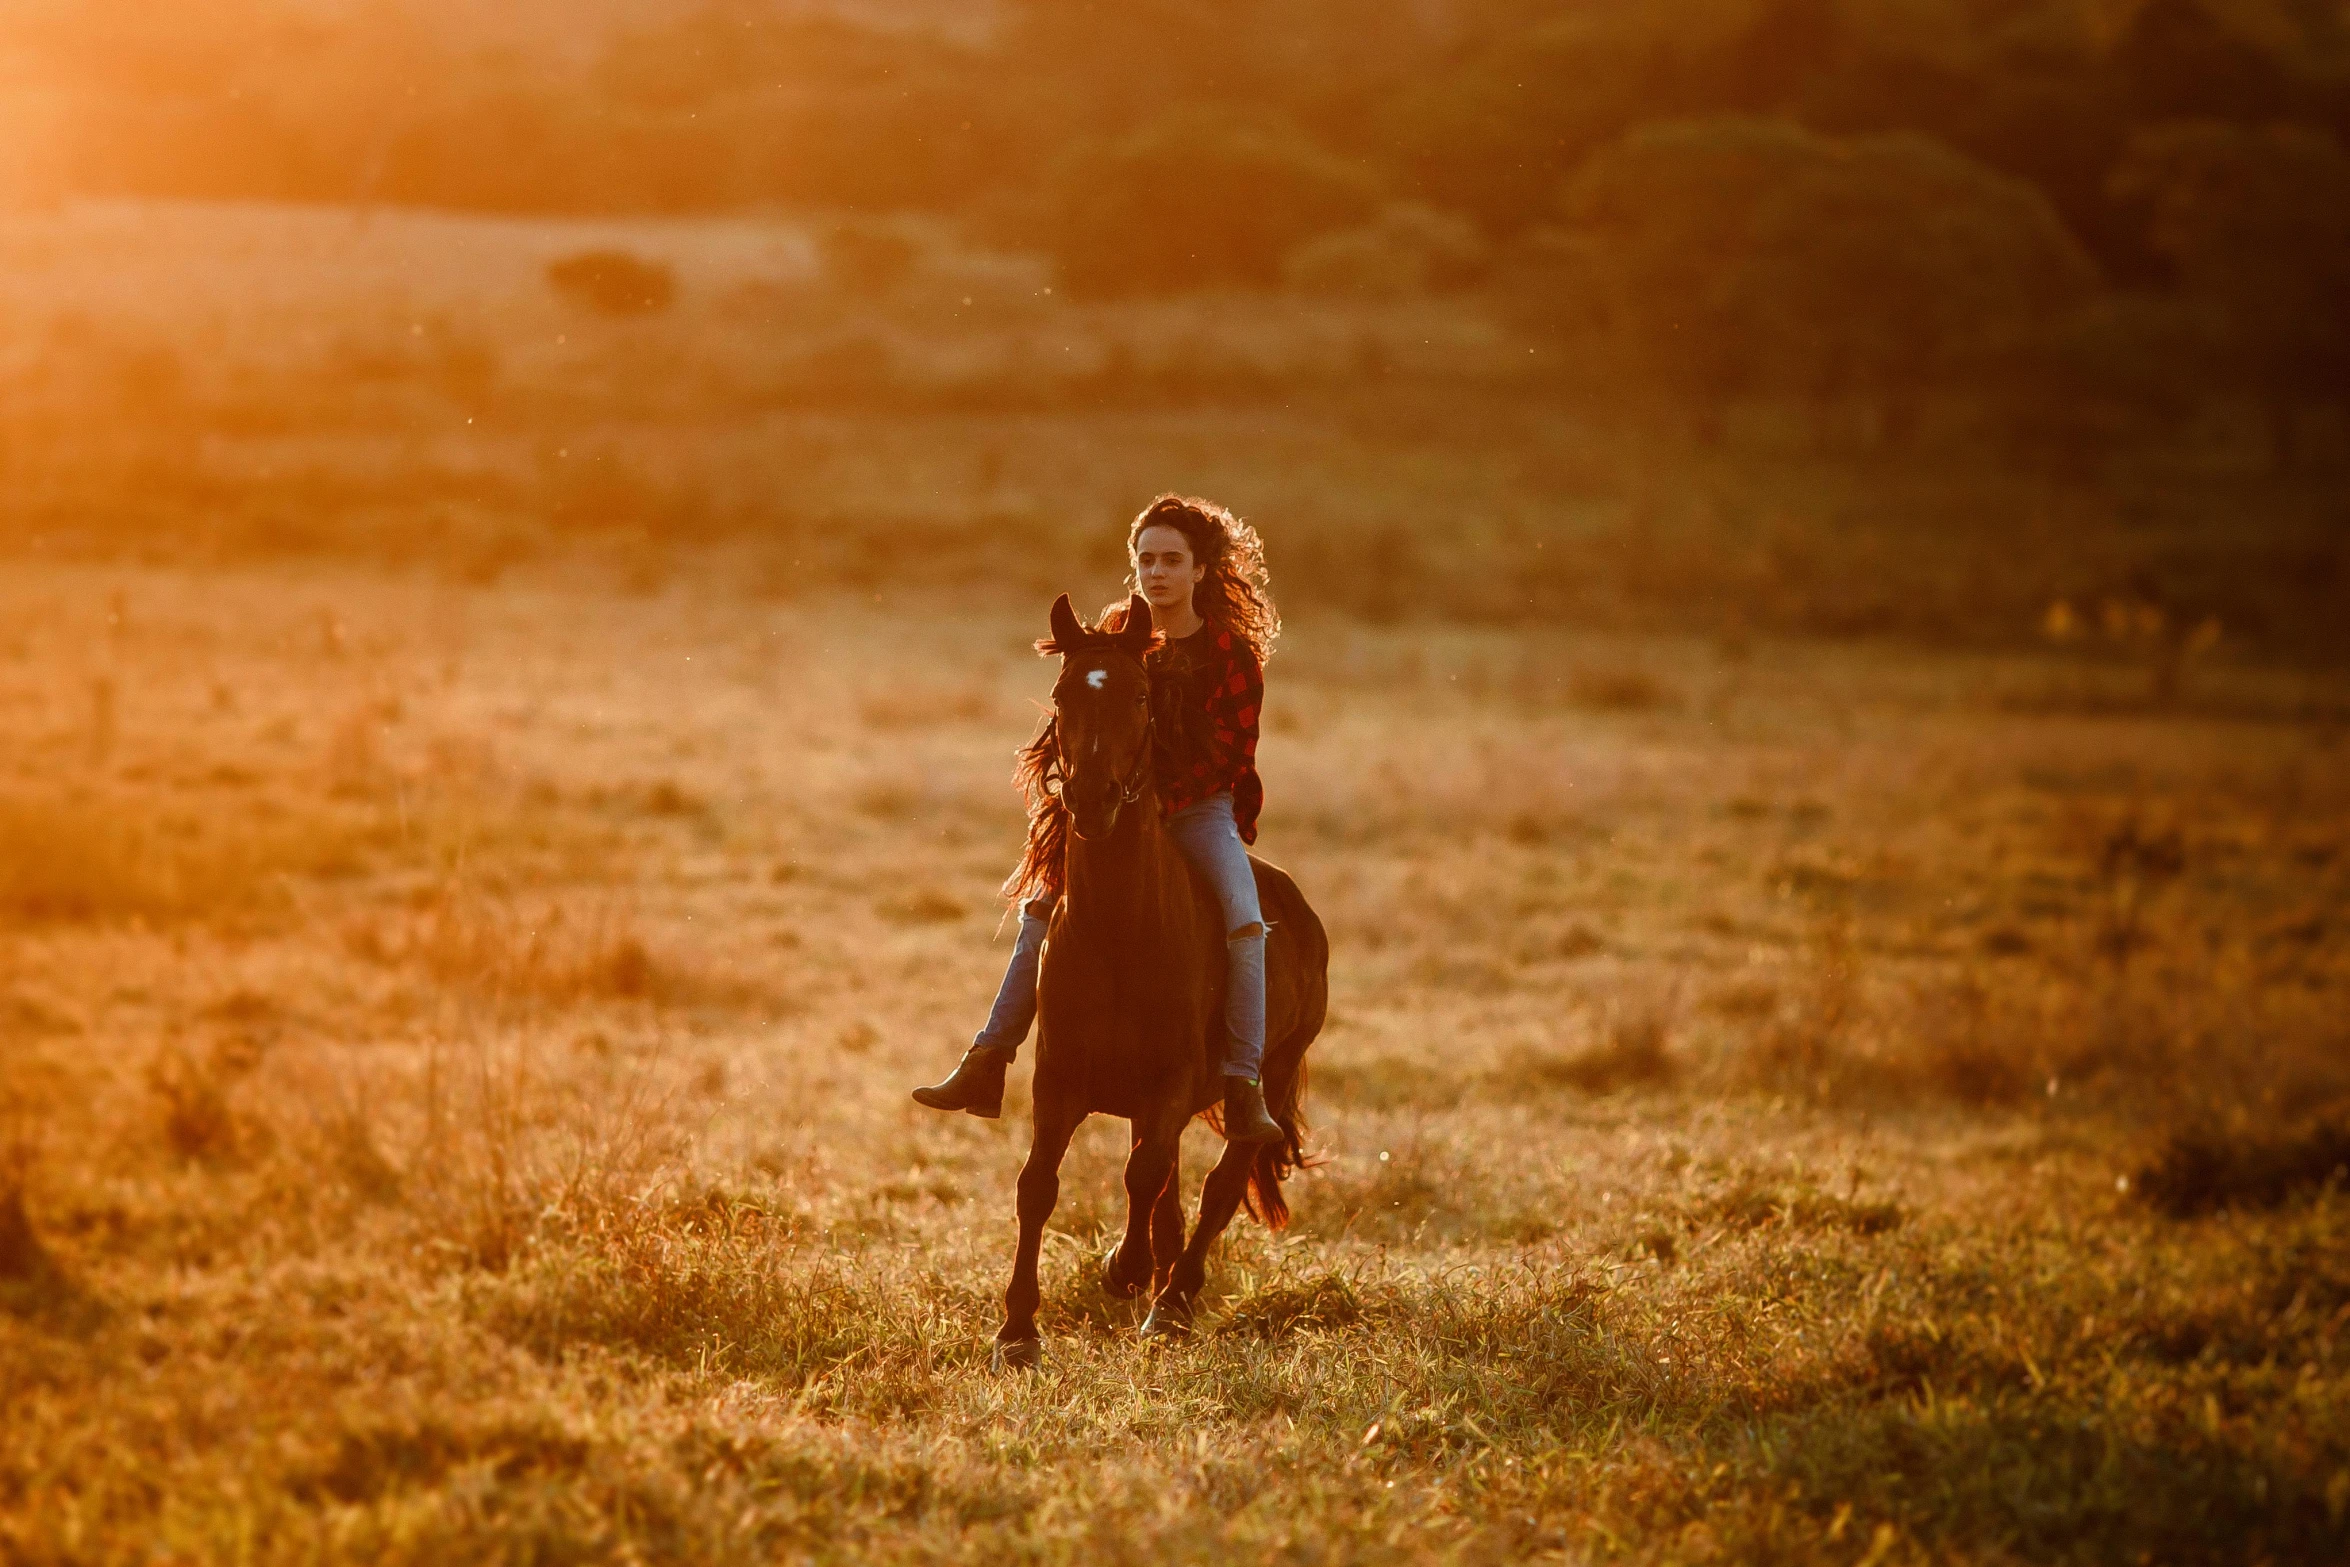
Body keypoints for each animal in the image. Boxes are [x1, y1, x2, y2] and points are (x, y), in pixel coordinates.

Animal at [986, 594, 1325, 1362]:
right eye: (1062, 693)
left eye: (1140, 696)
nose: (1091, 797)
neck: (1120, 935)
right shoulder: (1059, 1080)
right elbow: (1038, 1186)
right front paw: (1018, 1329)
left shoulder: (1169, 1082)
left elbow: (1144, 1173)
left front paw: (1126, 1268)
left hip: (1270, 1075)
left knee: (1221, 1181)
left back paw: (1172, 1297)